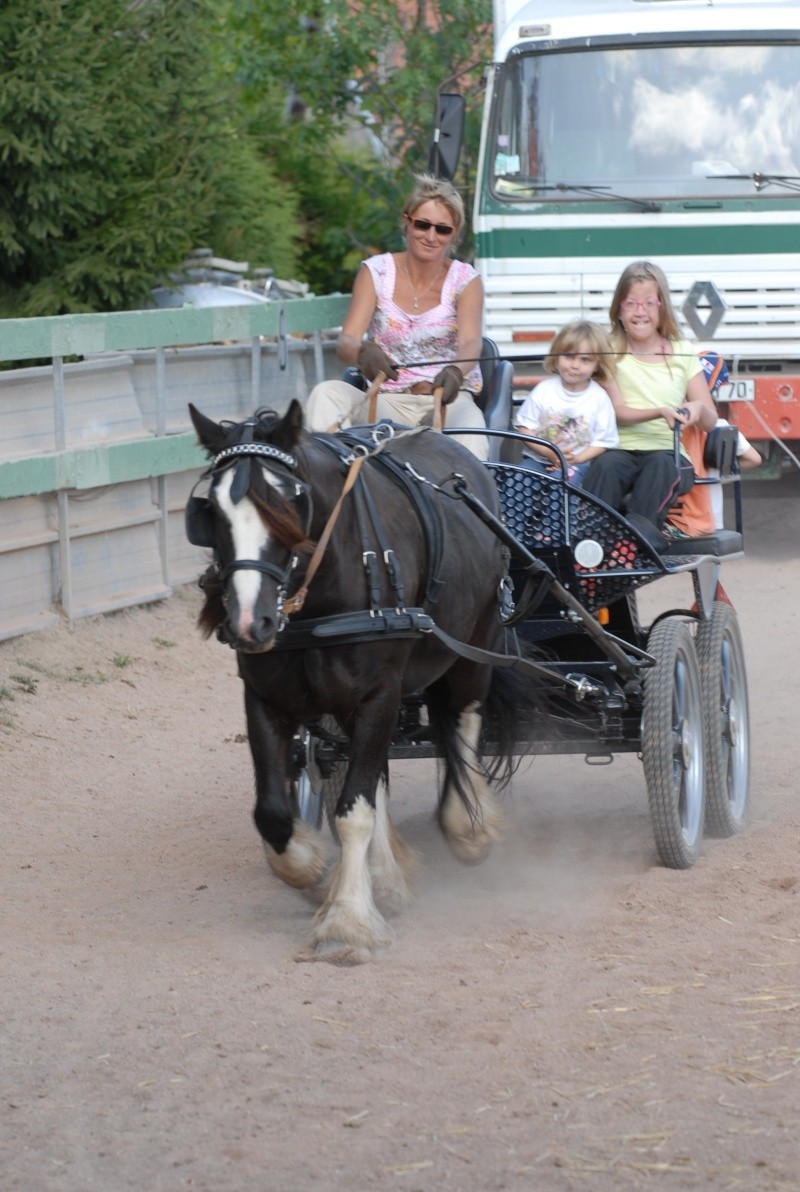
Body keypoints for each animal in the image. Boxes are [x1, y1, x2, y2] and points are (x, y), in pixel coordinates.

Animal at [188, 400, 531, 958]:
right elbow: (275, 811)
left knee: (464, 722)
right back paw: (387, 876)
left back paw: (468, 826)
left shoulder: (378, 695)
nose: (248, 621)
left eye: (290, 500)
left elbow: (355, 812)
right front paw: (307, 864)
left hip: (475, 649)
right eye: (211, 510)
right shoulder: (265, 698)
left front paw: (348, 919)